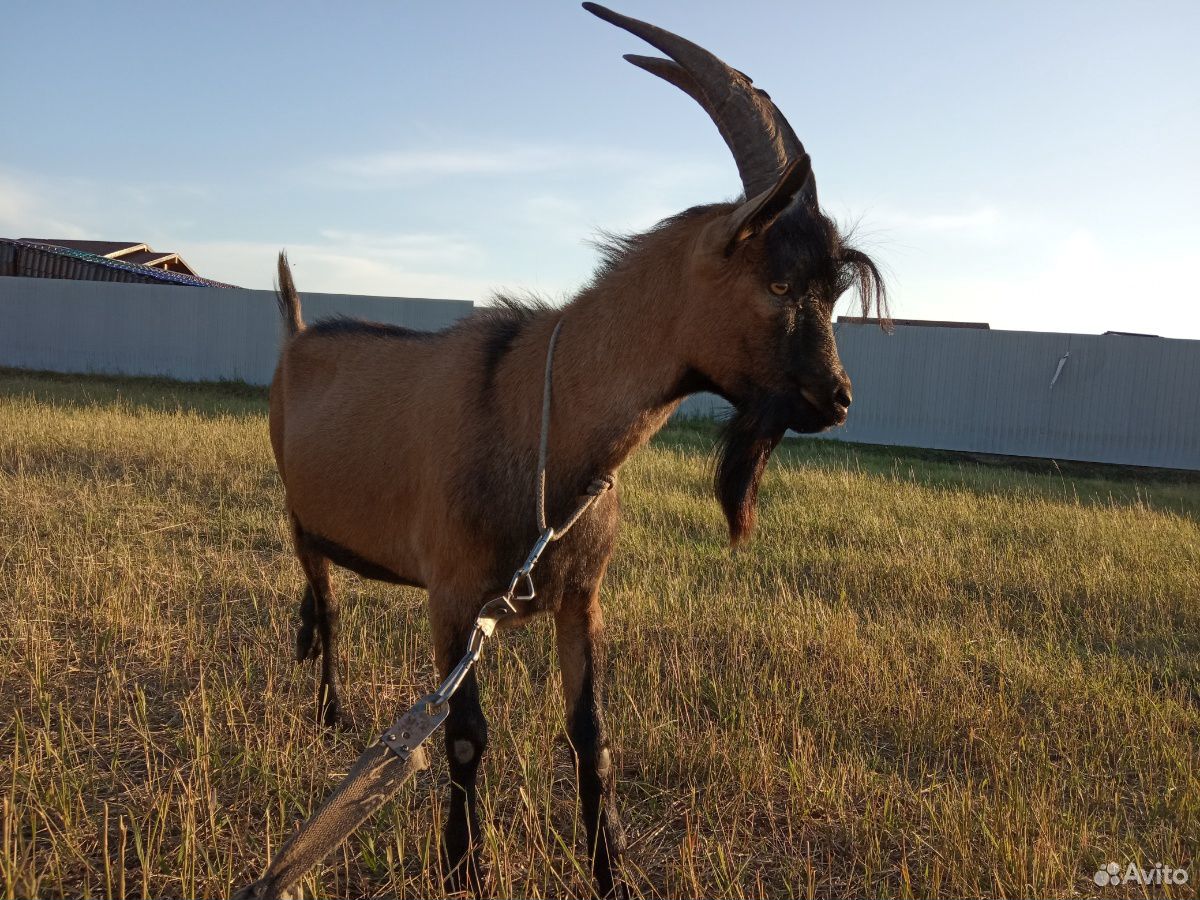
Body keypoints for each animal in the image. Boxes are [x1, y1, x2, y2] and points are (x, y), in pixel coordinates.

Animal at [270, 5, 892, 897]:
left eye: (833, 294)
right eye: (779, 284)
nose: (837, 399)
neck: (543, 417)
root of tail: (296, 336)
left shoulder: (579, 599)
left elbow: (591, 737)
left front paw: (611, 876)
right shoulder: (452, 598)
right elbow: (465, 737)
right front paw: (463, 872)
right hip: (299, 516)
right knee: (325, 601)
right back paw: (330, 711)